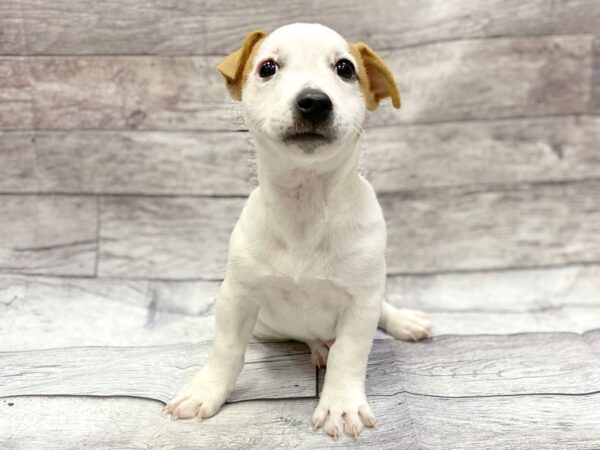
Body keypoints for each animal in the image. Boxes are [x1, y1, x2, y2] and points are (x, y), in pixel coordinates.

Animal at [165, 22, 432, 440]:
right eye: (267, 67)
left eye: (345, 68)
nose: (314, 101)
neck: (307, 204)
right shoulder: (238, 296)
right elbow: (226, 349)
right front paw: (205, 391)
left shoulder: (361, 302)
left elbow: (349, 354)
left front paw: (340, 405)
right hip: (268, 327)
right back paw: (318, 345)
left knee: (381, 311)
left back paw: (403, 322)